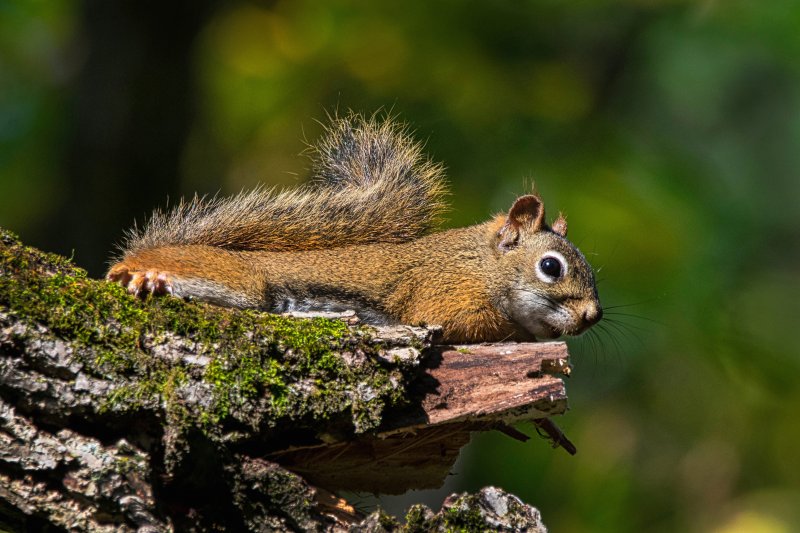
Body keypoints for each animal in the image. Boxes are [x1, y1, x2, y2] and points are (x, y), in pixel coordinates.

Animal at [107, 113, 602, 344]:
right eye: (551, 267)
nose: (592, 316)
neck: (480, 265)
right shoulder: (443, 294)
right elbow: (470, 326)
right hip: (242, 283)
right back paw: (143, 277)